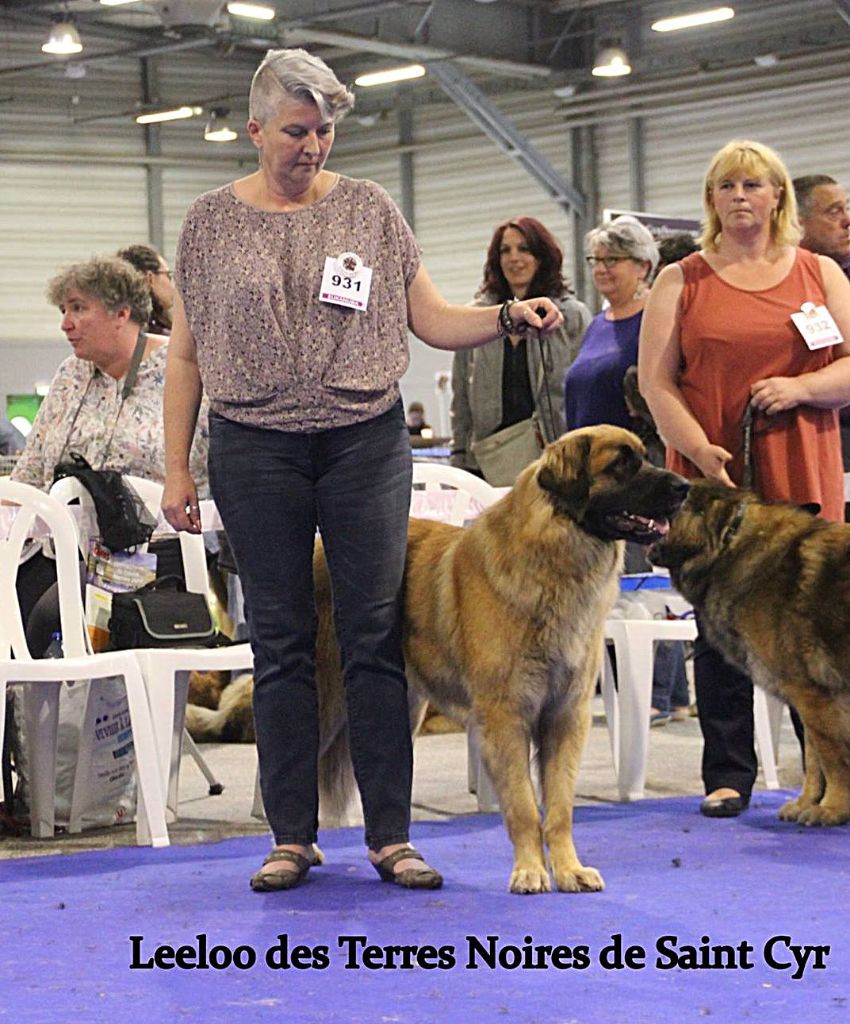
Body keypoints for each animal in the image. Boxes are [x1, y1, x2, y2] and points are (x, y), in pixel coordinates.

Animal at [647, 483, 850, 827]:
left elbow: (832, 759)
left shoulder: (813, 695)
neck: (729, 544)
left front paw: (833, 807)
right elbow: (814, 758)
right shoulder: (809, 698)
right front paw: (806, 802)